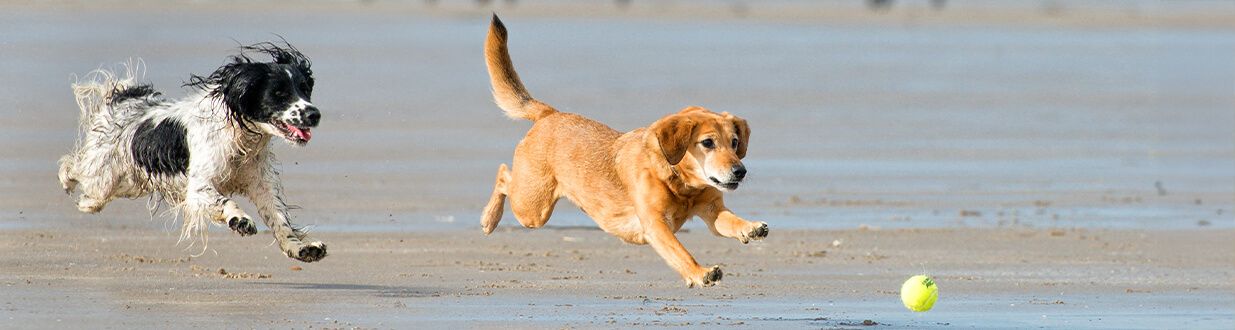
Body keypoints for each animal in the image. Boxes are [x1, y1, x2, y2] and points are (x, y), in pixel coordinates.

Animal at [58, 42, 328, 263]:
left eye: (305, 89)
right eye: (279, 93)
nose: (314, 114)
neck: (241, 141)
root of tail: (124, 98)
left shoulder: (261, 185)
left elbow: (279, 219)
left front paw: (301, 248)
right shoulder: (198, 187)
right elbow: (223, 201)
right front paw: (239, 219)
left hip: (130, 182)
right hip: (101, 179)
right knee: (75, 171)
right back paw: (67, 180)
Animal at [476, 16, 765, 287]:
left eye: (735, 142)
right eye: (707, 143)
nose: (740, 171)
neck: (681, 184)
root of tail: (550, 114)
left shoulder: (712, 211)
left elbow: (731, 221)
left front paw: (750, 227)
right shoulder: (656, 225)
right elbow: (680, 252)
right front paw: (699, 272)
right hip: (532, 208)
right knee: (503, 175)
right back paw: (489, 218)